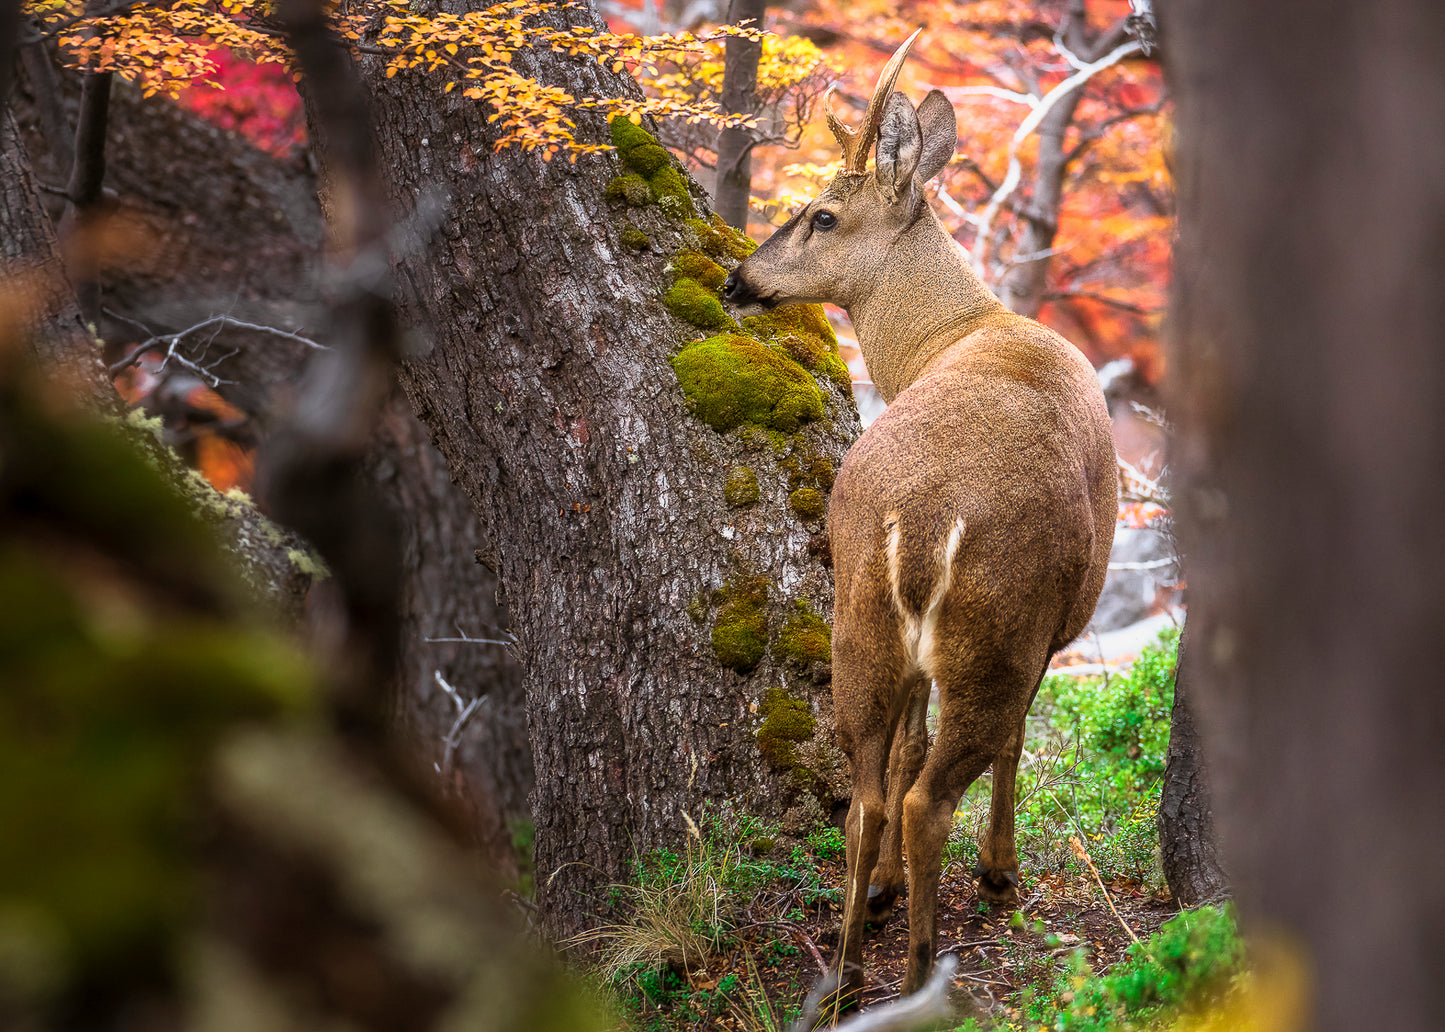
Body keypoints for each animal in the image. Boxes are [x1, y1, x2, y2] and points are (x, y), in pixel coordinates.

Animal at [722, 30, 1115, 994]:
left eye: (822, 216)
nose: (737, 278)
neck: (950, 334)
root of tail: (926, 521)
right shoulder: (1059, 622)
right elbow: (1011, 742)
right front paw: (998, 873)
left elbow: (904, 743)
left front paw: (883, 891)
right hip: (999, 624)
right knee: (930, 793)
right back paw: (921, 971)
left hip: (857, 610)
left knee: (869, 793)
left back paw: (850, 967)